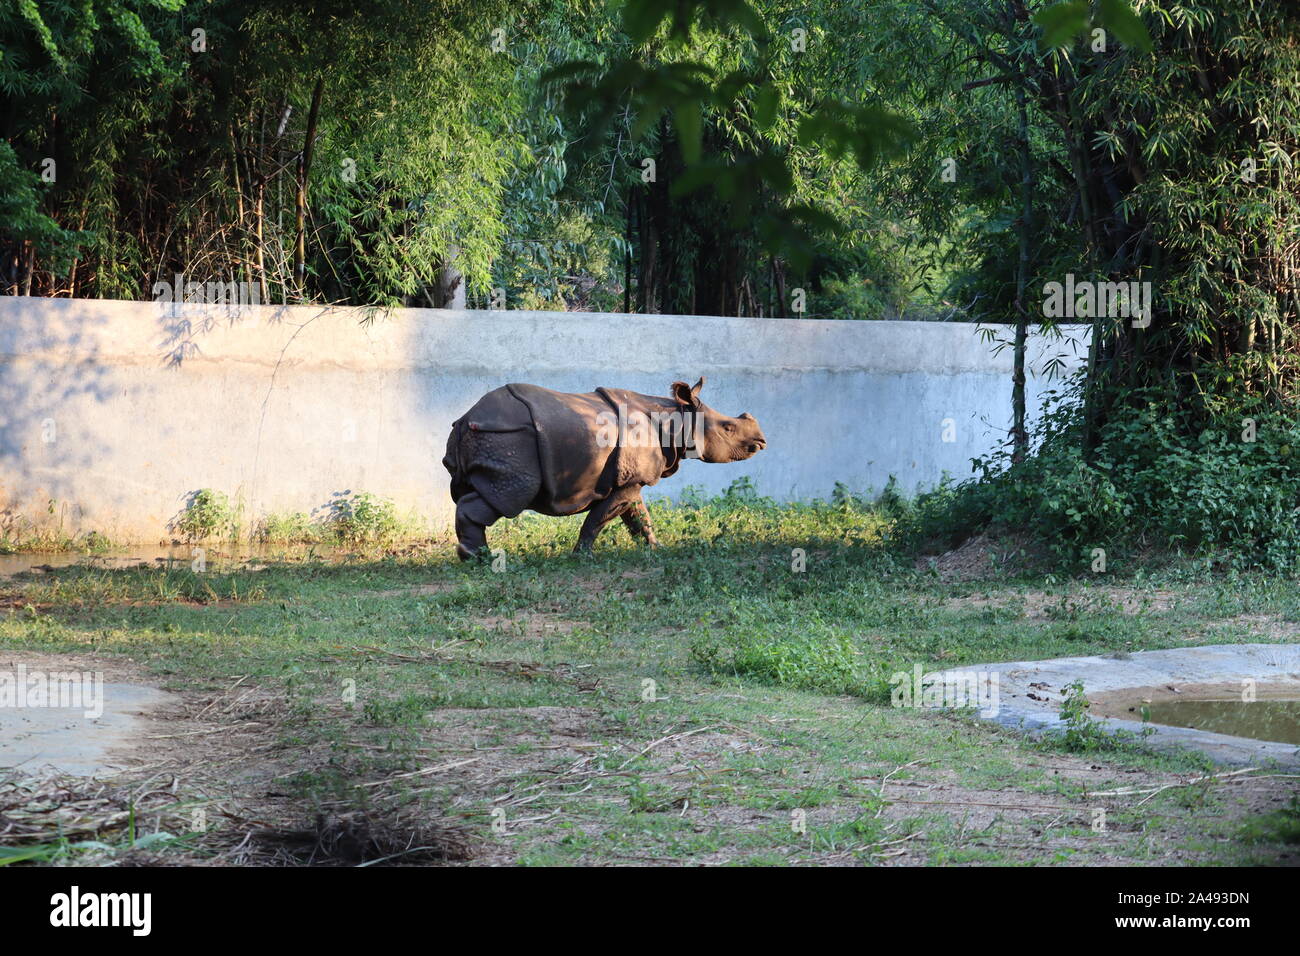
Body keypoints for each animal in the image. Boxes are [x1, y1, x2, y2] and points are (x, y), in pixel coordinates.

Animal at [442, 377, 766, 559]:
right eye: (728, 428)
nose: (761, 441)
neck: (675, 419)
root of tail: (466, 419)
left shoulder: (631, 479)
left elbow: (639, 518)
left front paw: (655, 549)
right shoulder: (629, 480)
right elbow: (599, 518)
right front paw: (581, 557)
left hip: (489, 437)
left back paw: (473, 556)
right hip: (507, 438)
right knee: (511, 495)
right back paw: (481, 559)